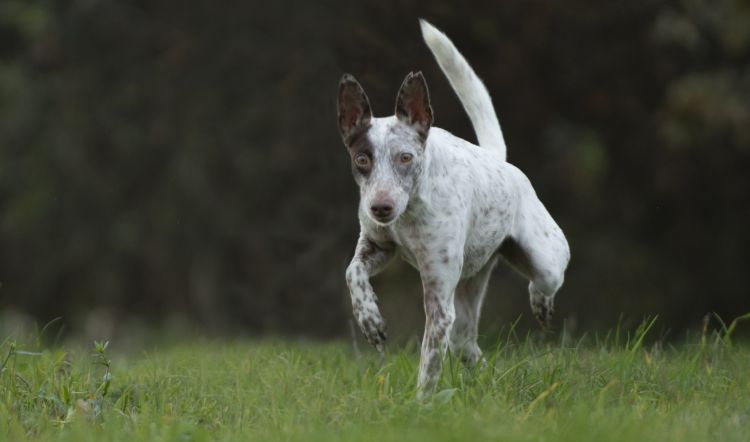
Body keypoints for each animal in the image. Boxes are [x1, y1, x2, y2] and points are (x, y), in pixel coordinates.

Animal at [336, 19, 568, 396]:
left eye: (405, 158)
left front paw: (421, 404)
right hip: (469, 292)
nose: (380, 207)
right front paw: (370, 319)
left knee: (545, 281)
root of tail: (498, 159)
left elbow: (429, 364)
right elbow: (352, 272)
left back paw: (540, 302)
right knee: (467, 346)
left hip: (545, 258)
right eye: (362, 159)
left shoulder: (439, 304)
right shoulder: (377, 247)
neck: (410, 213)